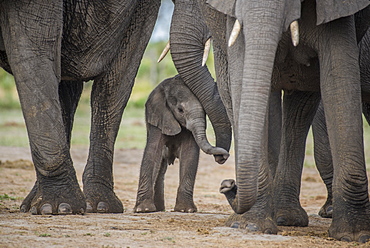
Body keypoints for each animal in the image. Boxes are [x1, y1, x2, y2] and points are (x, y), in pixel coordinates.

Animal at [134, 75, 230, 213]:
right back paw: (157, 209)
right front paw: (144, 210)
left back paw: (159, 208)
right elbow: (152, 151)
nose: (223, 157)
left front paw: (186, 210)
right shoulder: (159, 117)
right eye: (180, 110)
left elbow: (189, 153)